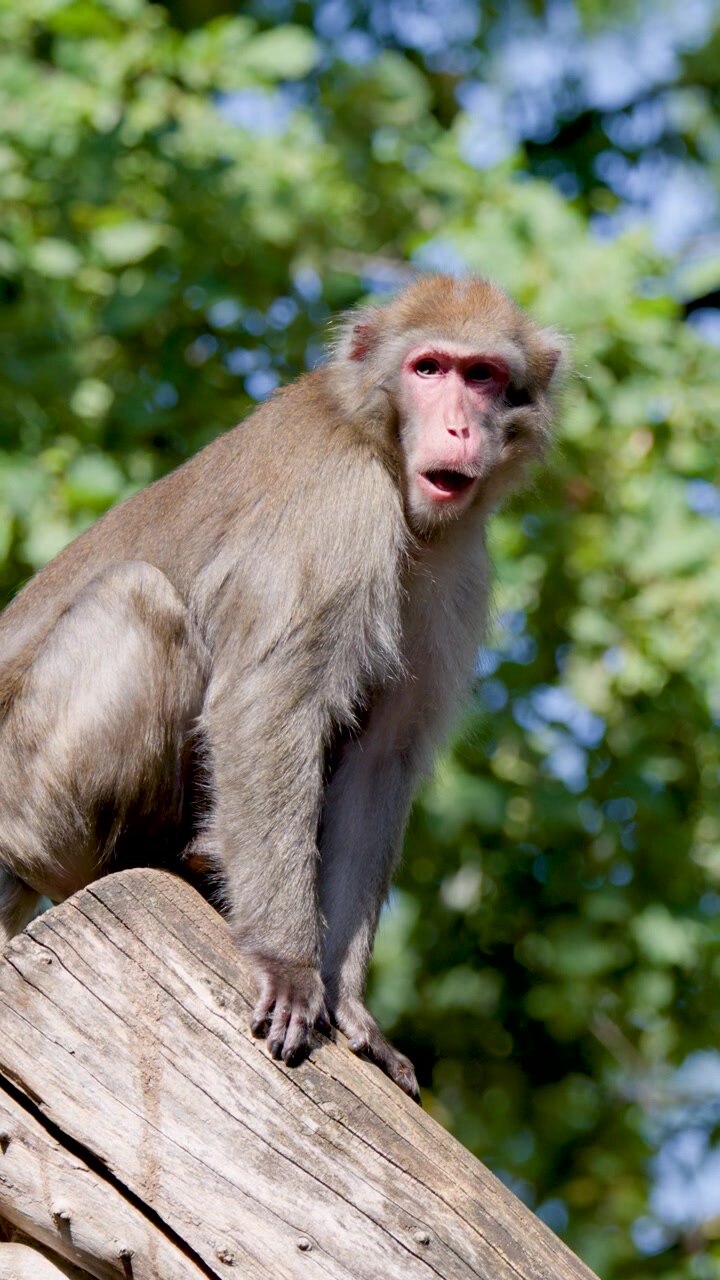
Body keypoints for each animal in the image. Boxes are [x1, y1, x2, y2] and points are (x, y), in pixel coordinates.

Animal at [0, 274, 563, 1099]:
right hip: (26, 790)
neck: (376, 443)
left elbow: (380, 759)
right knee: (137, 600)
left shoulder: (456, 565)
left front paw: (352, 1006)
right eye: (429, 369)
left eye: (484, 375)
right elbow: (270, 703)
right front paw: (288, 964)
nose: (460, 427)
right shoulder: (337, 500)